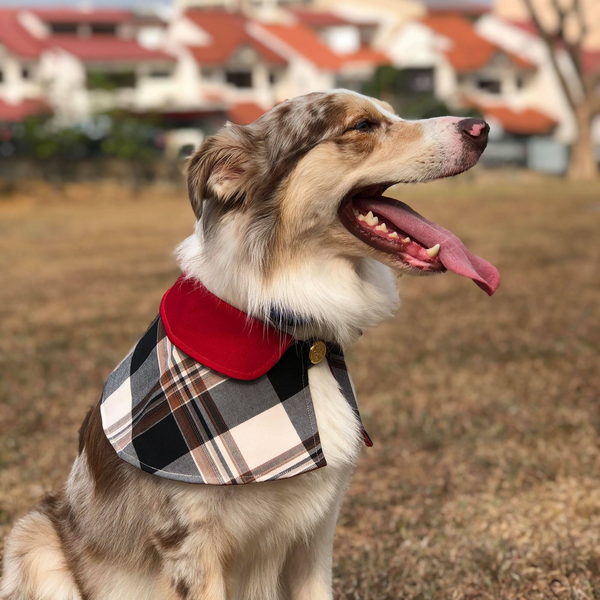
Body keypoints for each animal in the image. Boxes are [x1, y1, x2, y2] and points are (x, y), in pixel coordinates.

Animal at [0, 90, 500, 600]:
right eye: (362, 125)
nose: (480, 127)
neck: (290, 339)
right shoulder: (190, 546)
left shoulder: (316, 530)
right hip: (33, 538)